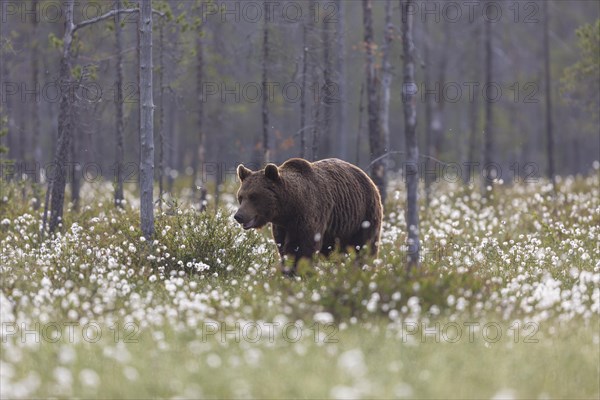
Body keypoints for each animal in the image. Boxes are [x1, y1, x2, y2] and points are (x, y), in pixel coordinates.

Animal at [232, 158, 382, 274]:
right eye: (241, 196)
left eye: (254, 196)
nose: (239, 216)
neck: (288, 209)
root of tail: (370, 180)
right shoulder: (282, 227)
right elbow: (283, 247)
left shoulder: (309, 215)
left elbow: (302, 247)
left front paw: (297, 272)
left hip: (363, 216)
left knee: (365, 247)